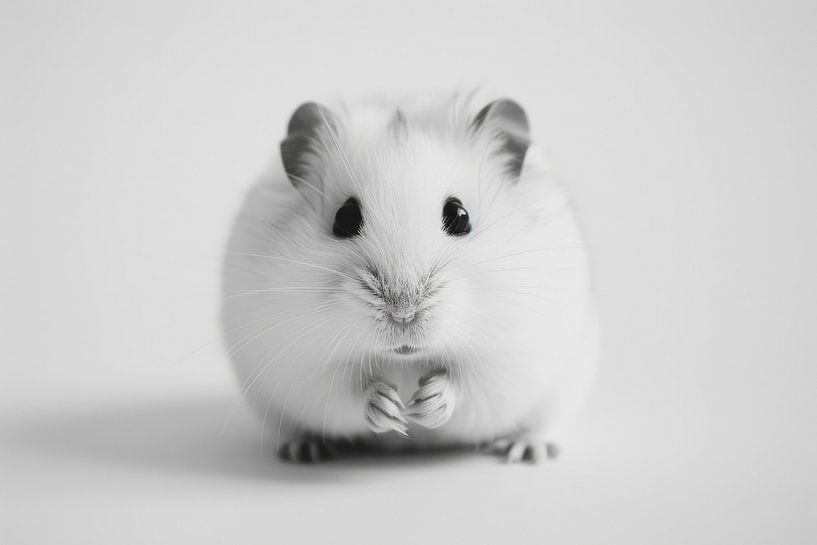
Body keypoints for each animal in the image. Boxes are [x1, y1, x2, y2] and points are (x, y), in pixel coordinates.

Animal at [221, 92, 597, 464]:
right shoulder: (299, 364)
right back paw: (304, 450)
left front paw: (422, 407)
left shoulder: (509, 360)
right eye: (344, 217)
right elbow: (345, 392)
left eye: (460, 215)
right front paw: (391, 410)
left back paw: (527, 450)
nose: (403, 314)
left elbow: (467, 386)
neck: (405, 359)